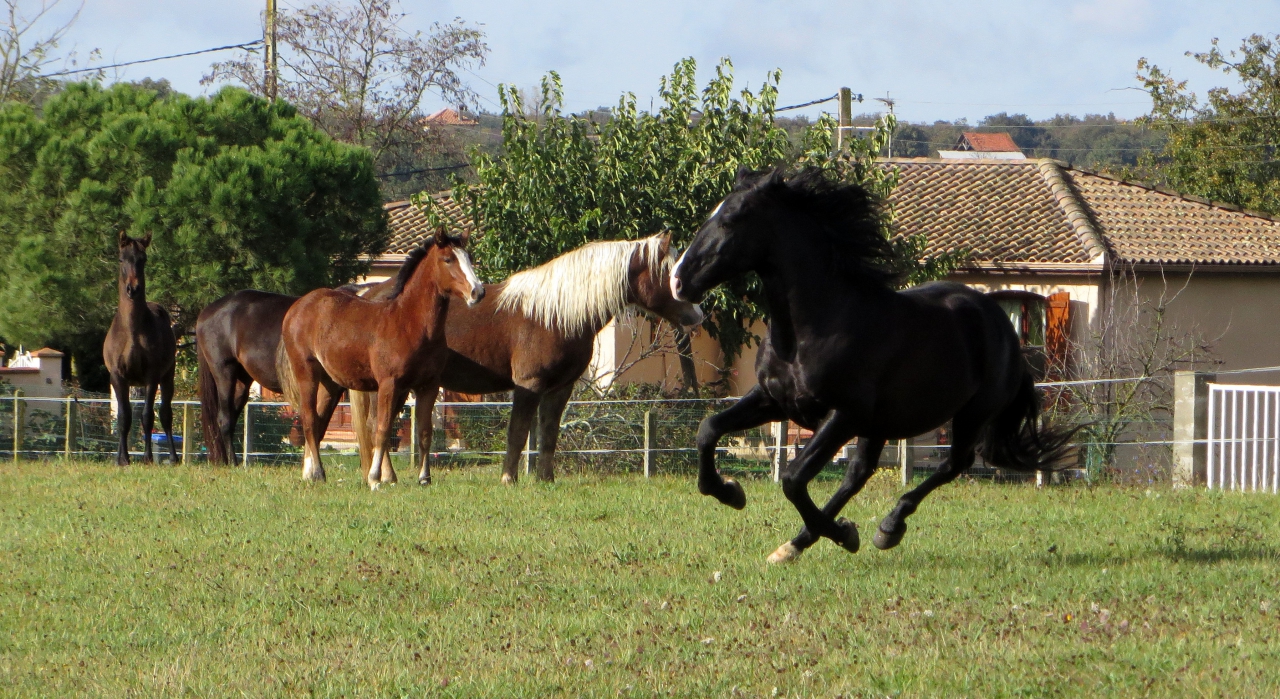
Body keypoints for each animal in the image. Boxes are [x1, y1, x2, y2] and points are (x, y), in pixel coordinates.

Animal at [102, 231, 179, 465]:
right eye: (121, 259)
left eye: (143, 259)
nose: (132, 289)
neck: (131, 331)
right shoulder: (118, 377)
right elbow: (123, 417)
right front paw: (123, 459)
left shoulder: (151, 377)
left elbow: (147, 415)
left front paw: (147, 457)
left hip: (168, 376)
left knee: (165, 414)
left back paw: (173, 457)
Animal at [277, 229, 484, 490]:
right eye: (448, 259)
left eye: (469, 257)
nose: (478, 292)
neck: (410, 323)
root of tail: (297, 306)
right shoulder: (388, 384)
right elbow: (382, 429)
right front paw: (375, 479)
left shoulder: (428, 386)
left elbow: (425, 432)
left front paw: (424, 478)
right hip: (306, 374)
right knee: (308, 418)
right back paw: (317, 473)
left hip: (330, 383)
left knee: (319, 421)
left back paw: (313, 473)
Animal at [349, 233, 705, 486]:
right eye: (670, 272)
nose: (697, 315)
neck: (554, 314)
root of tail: (370, 294)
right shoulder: (528, 385)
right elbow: (519, 432)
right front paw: (509, 478)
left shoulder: (560, 388)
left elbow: (548, 433)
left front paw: (546, 479)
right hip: (394, 385)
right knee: (379, 426)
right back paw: (386, 478)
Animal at [669, 167, 1074, 564]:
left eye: (731, 219)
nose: (678, 282)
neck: (815, 326)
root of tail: (1002, 324)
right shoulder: (773, 400)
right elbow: (708, 429)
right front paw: (729, 491)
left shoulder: (844, 414)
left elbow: (793, 479)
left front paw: (844, 533)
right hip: (883, 423)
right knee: (860, 473)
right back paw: (797, 545)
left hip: (970, 414)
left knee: (953, 464)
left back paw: (887, 527)